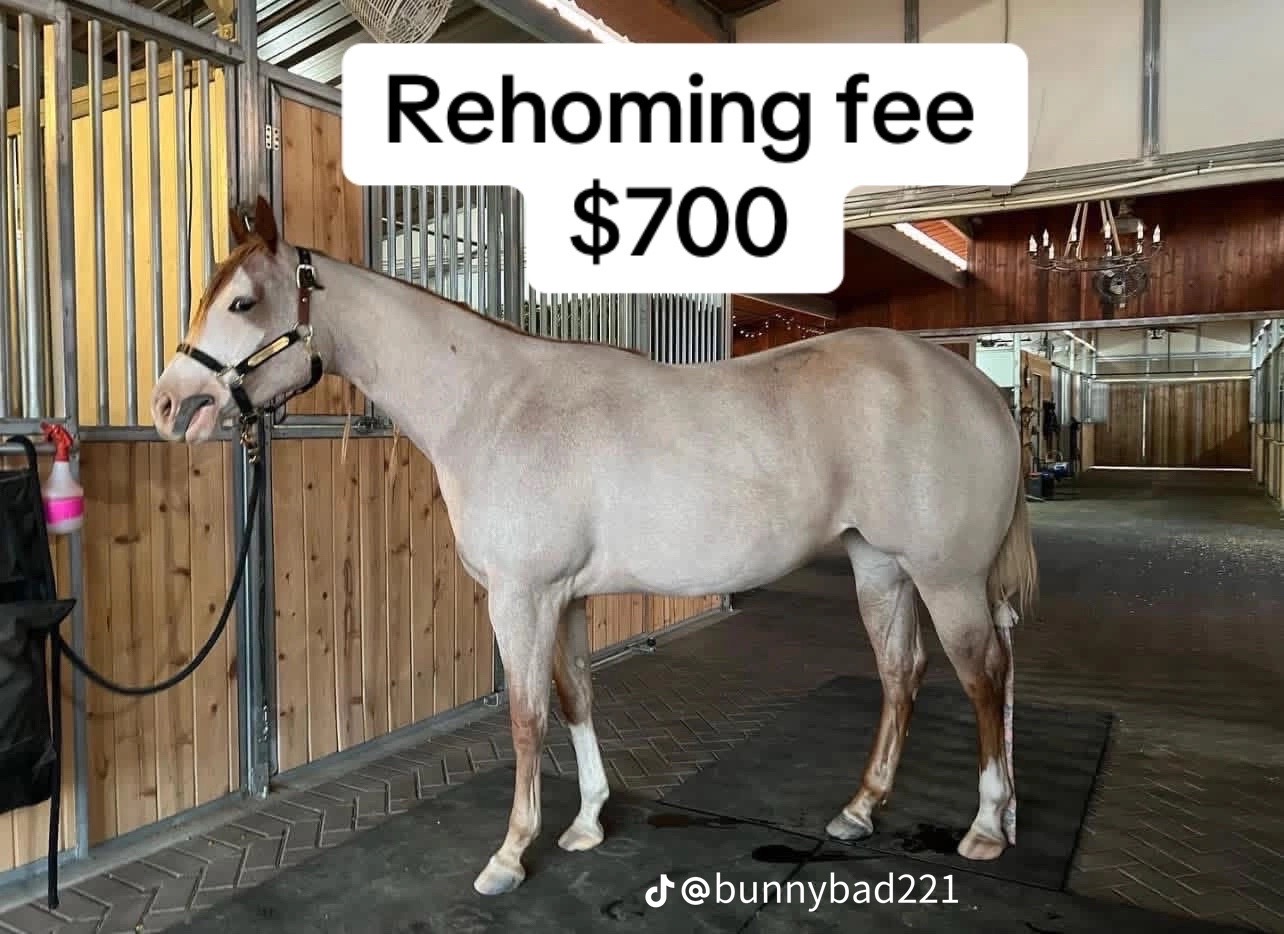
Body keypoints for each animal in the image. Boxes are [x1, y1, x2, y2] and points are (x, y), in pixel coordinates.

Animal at [150, 196, 1037, 897]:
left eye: (241, 302)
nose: (170, 405)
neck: (493, 405)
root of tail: (980, 389)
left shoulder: (521, 596)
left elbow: (524, 717)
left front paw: (511, 855)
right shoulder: (564, 596)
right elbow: (575, 698)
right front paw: (585, 824)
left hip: (948, 577)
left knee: (984, 674)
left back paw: (988, 826)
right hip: (879, 566)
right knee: (902, 673)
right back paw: (860, 810)